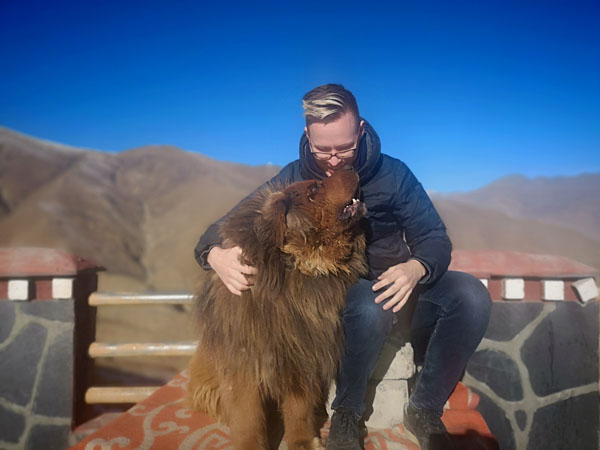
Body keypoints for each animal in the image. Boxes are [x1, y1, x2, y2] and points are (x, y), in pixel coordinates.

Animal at [189, 170, 366, 450]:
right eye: (314, 189)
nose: (351, 169)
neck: (296, 266)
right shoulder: (247, 362)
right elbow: (247, 416)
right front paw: (250, 445)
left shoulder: (301, 354)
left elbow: (298, 408)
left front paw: (303, 442)